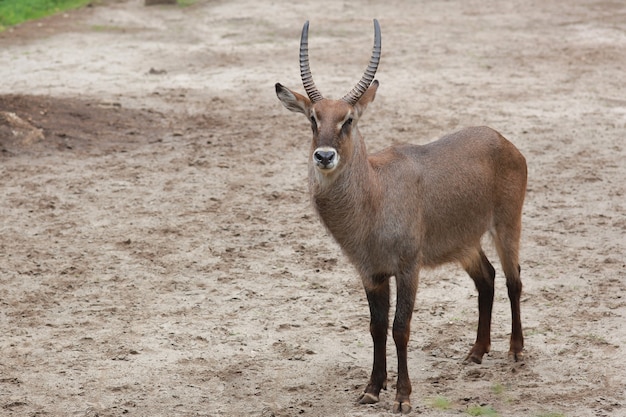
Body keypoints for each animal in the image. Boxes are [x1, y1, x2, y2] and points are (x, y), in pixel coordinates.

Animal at [276, 18, 524, 412]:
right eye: (313, 118)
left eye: (348, 119)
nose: (324, 156)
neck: (374, 195)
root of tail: (501, 139)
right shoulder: (371, 273)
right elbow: (376, 327)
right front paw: (371, 389)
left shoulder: (409, 268)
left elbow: (400, 327)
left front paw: (403, 397)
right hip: (465, 243)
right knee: (487, 279)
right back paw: (476, 352)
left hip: (506, 226)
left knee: (515, 280)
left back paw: (516, 352)